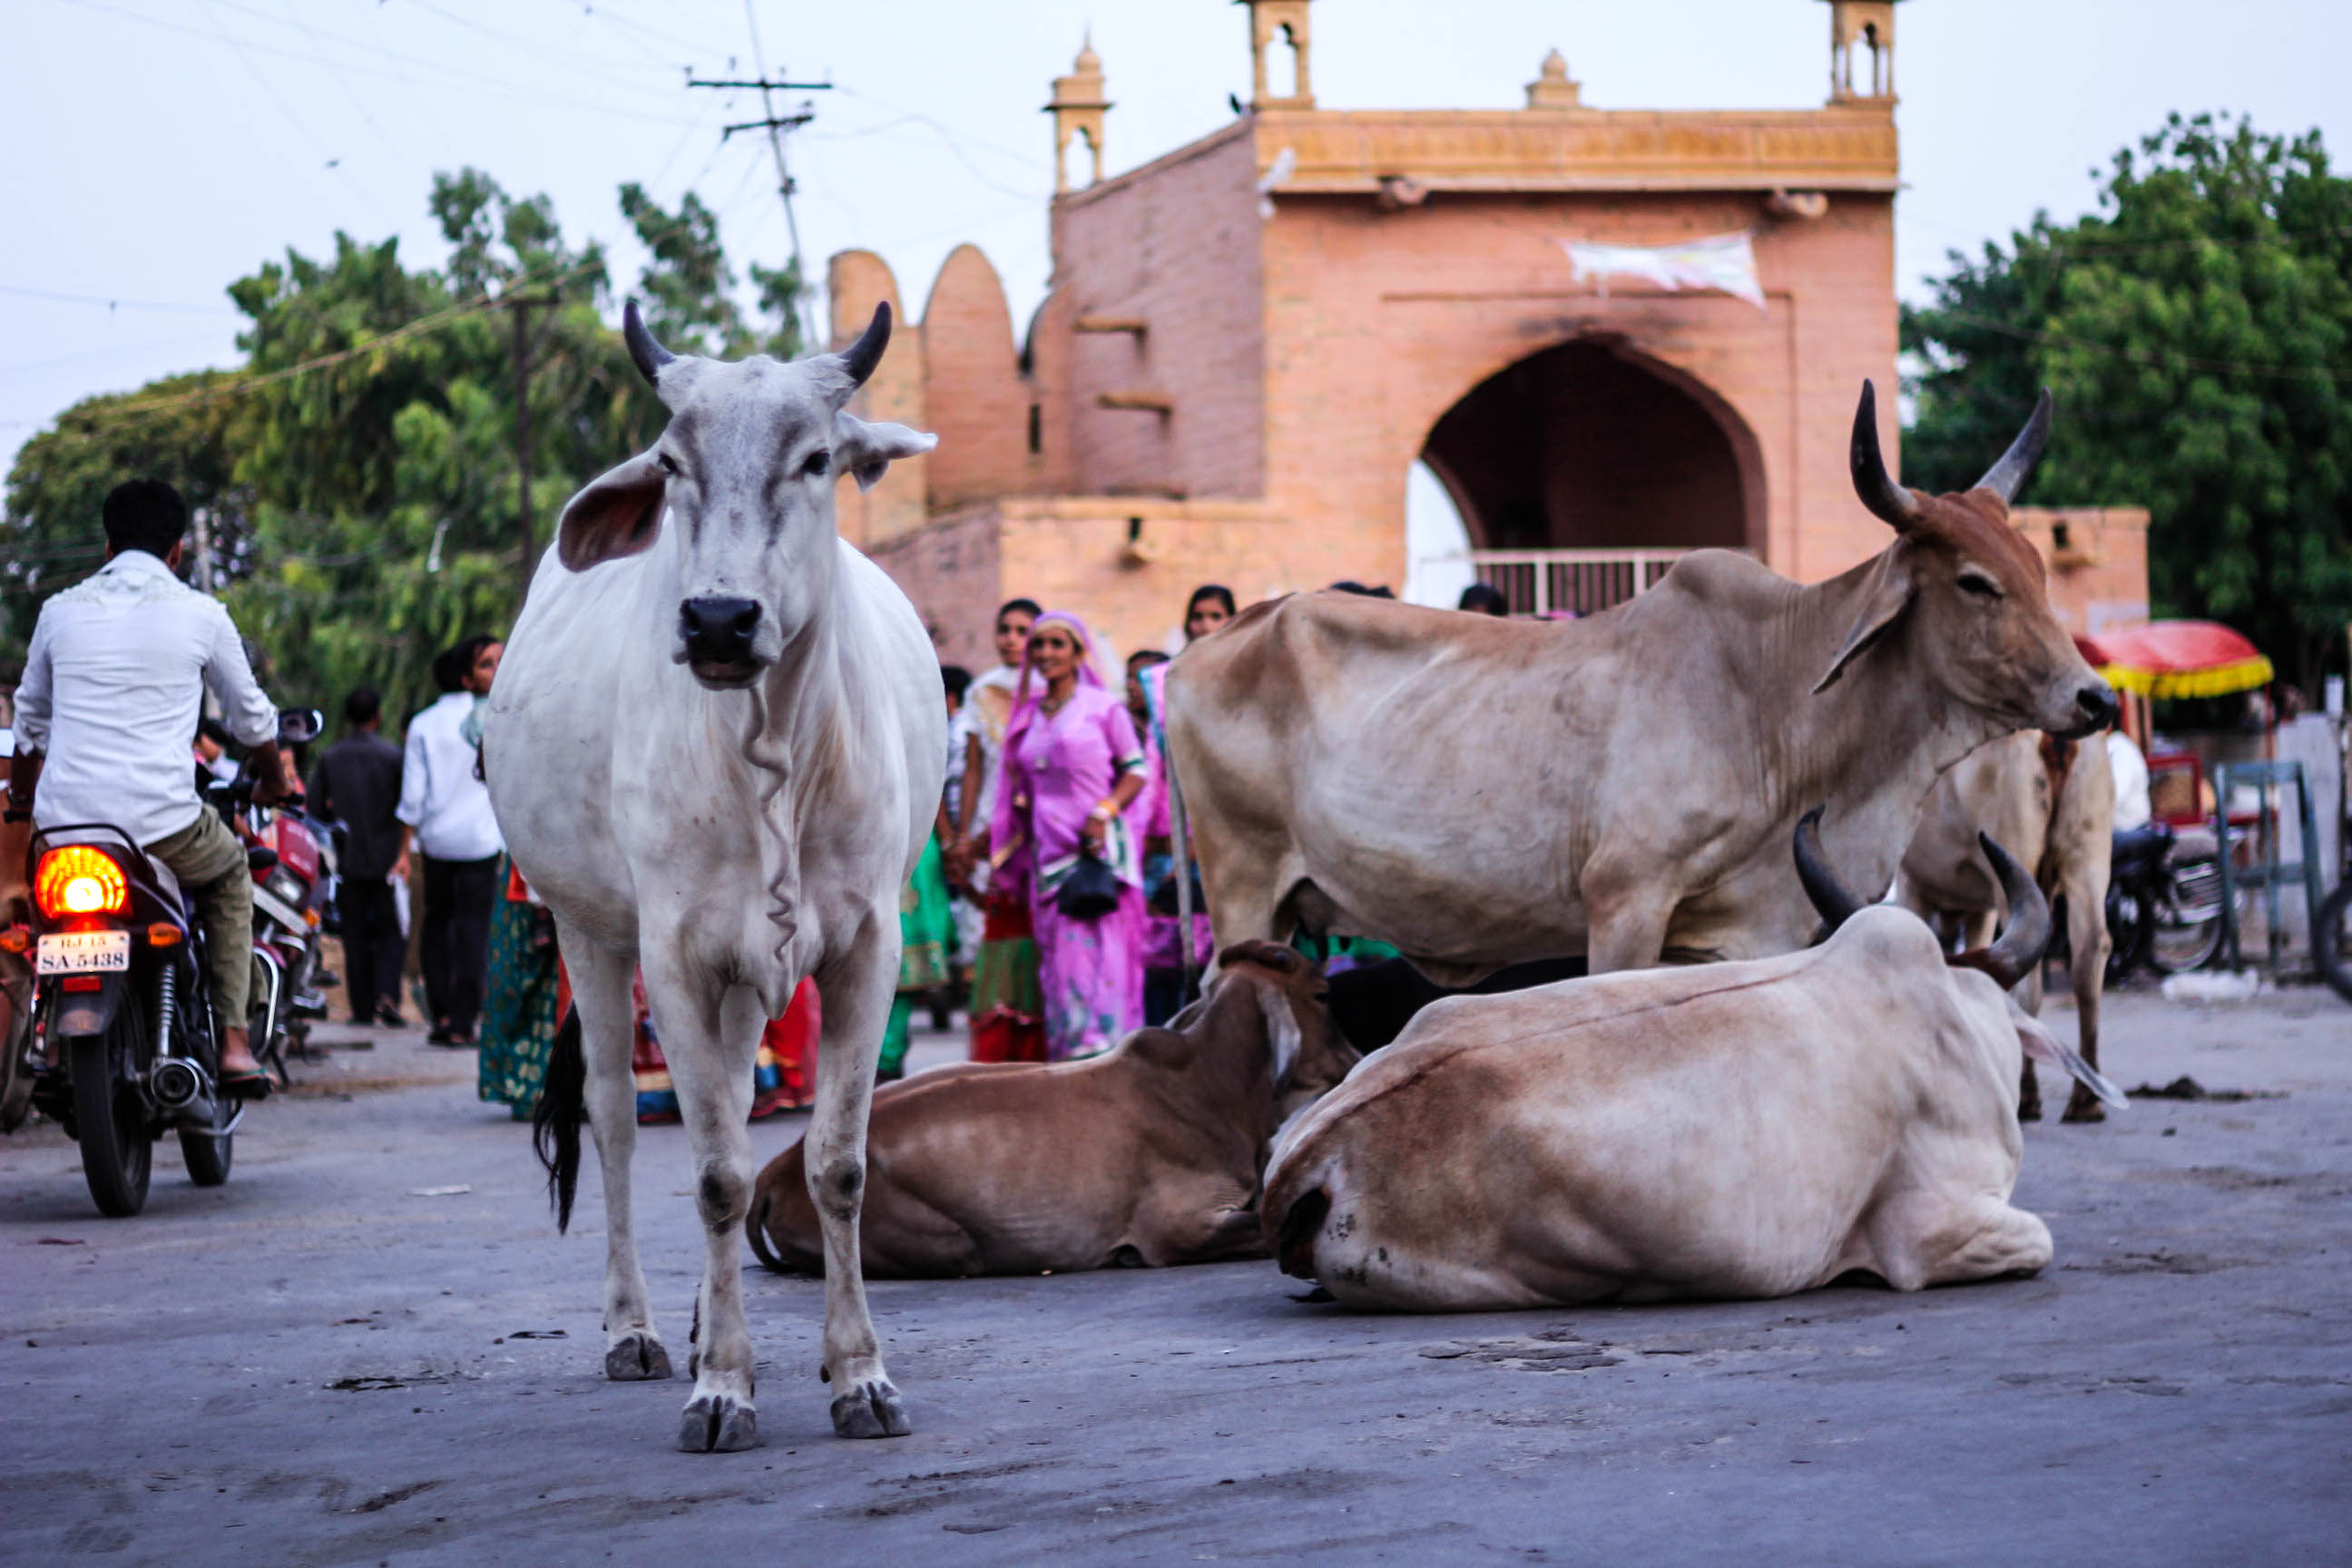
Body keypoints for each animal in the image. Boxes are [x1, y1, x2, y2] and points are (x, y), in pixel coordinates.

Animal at [484, 300, 936, 1457]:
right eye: (672, 463)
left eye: (817, 458)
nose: (720, 620)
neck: (772, 751)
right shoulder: (676, 954)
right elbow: (719, 1174)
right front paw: (723, 1389)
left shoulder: (867, 949)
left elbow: (835, 1163)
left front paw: (858, 1374)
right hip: (591, 933)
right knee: (614, 1118)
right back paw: (639, 1331)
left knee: (731, 1095)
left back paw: (695, 1326)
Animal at [743, 945, 1354, 1279]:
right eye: (1323, 993)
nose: (1354, 1058)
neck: (1208, 1084)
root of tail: (776, 1169)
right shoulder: (1183, 1228)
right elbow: (1268, 1234)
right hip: (952, 1245)